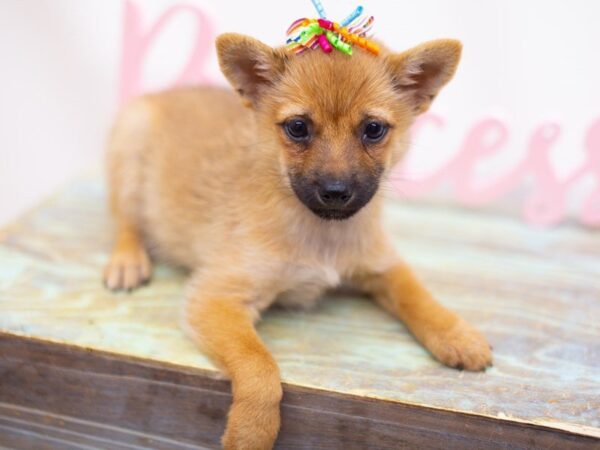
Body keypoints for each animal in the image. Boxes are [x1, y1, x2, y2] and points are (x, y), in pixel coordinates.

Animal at [103, 33, 492, 448]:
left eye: (373, 129)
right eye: (298, 128)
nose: (336, 191)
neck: (322, 234)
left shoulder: (383, 266)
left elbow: (417, 296)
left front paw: (457, 334)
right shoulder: (216, 298)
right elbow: (259, 365)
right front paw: (252, 431)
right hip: (129, 155)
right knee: (126, 222)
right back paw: (127, 261)